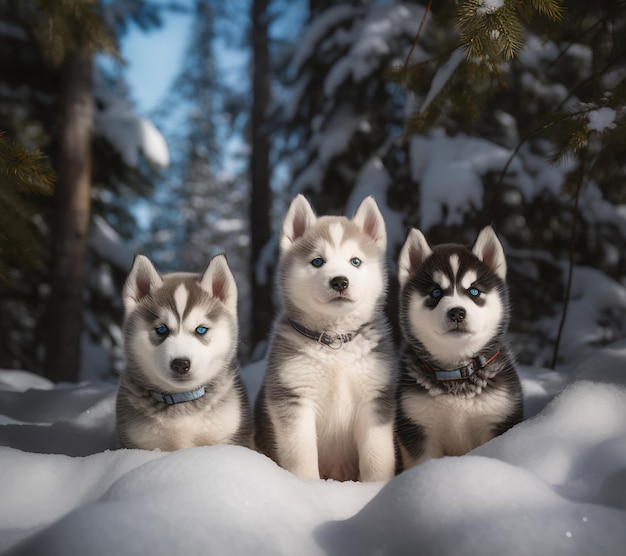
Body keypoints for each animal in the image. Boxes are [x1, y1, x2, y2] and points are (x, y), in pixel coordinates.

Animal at [254, 195, 394, 482]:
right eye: (317, 262)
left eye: (355, 261)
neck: (334, 344)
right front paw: (308, 486)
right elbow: (301, 455)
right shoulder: (293, 397)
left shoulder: (375, 397)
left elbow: (377, 455)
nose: (339, 281)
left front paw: (375, 487)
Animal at [394, 226, 520, 470]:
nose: (457, 313)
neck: (456, 374)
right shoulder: (418, 428)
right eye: (435, 293)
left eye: (474, 291)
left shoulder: (497, 419)